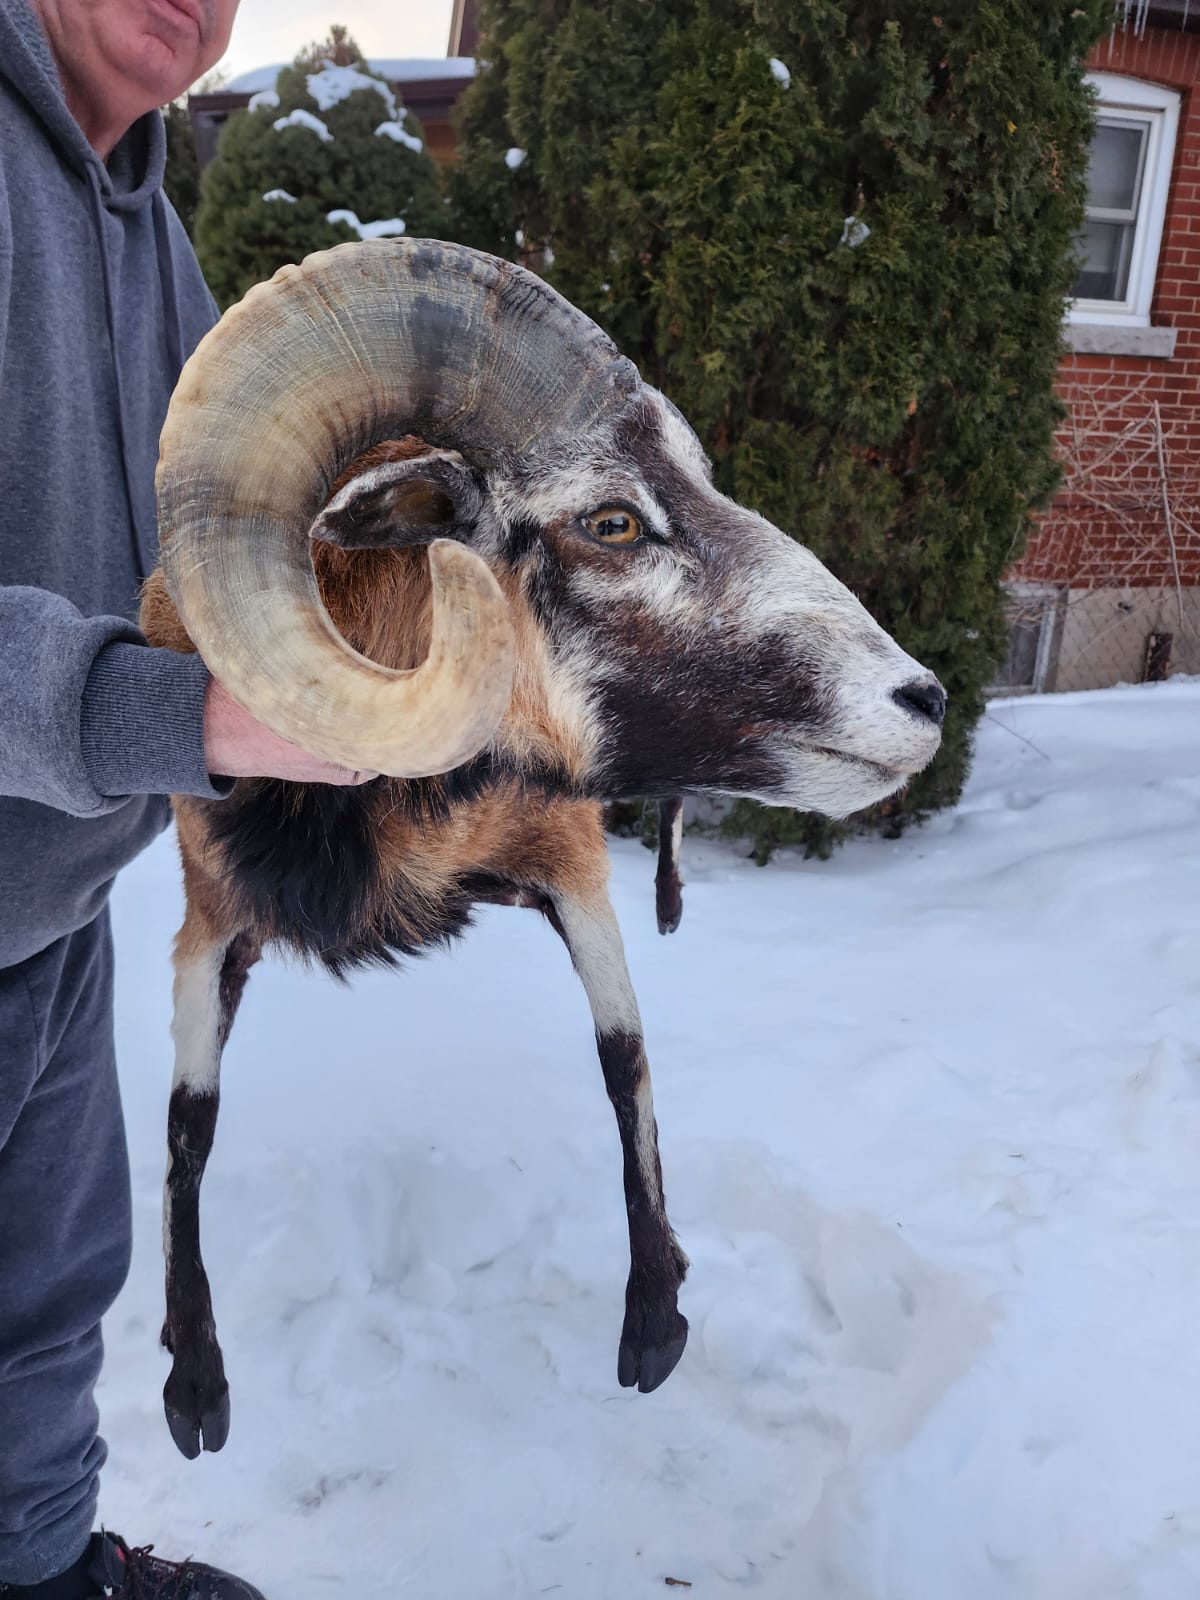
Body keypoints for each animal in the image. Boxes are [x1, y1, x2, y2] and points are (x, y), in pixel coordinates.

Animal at [143, 238, 946, 1460]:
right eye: (610, 522)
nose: (922, 701)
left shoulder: (571, 865)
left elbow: (625, 1053)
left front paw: (655, 1320)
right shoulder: (209, 919)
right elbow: (189, 1124)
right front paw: (195, 1390)